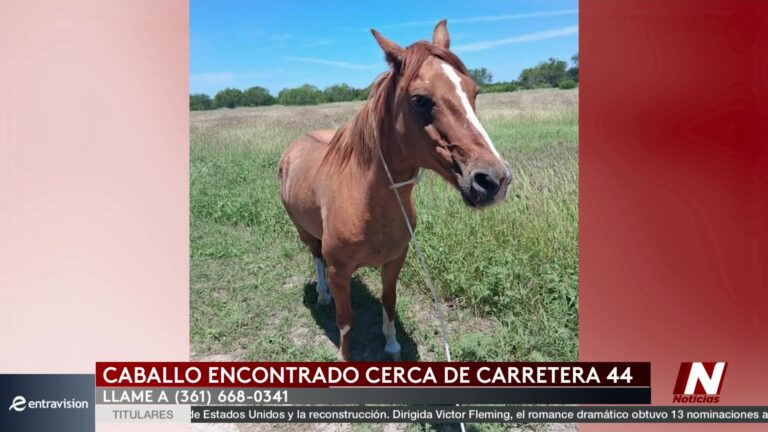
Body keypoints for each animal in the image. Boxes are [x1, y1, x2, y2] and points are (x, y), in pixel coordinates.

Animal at [278, 20, 511, 361]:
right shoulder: (339, 270)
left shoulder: (395, 260)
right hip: (303, 232)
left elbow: (389, 301)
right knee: (316, 256)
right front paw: (344, 357)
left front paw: (391, 344)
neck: (367, 202)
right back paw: (322, 295)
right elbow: (345, 320)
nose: (494, 180)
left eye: (474, 92)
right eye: (420, 100)